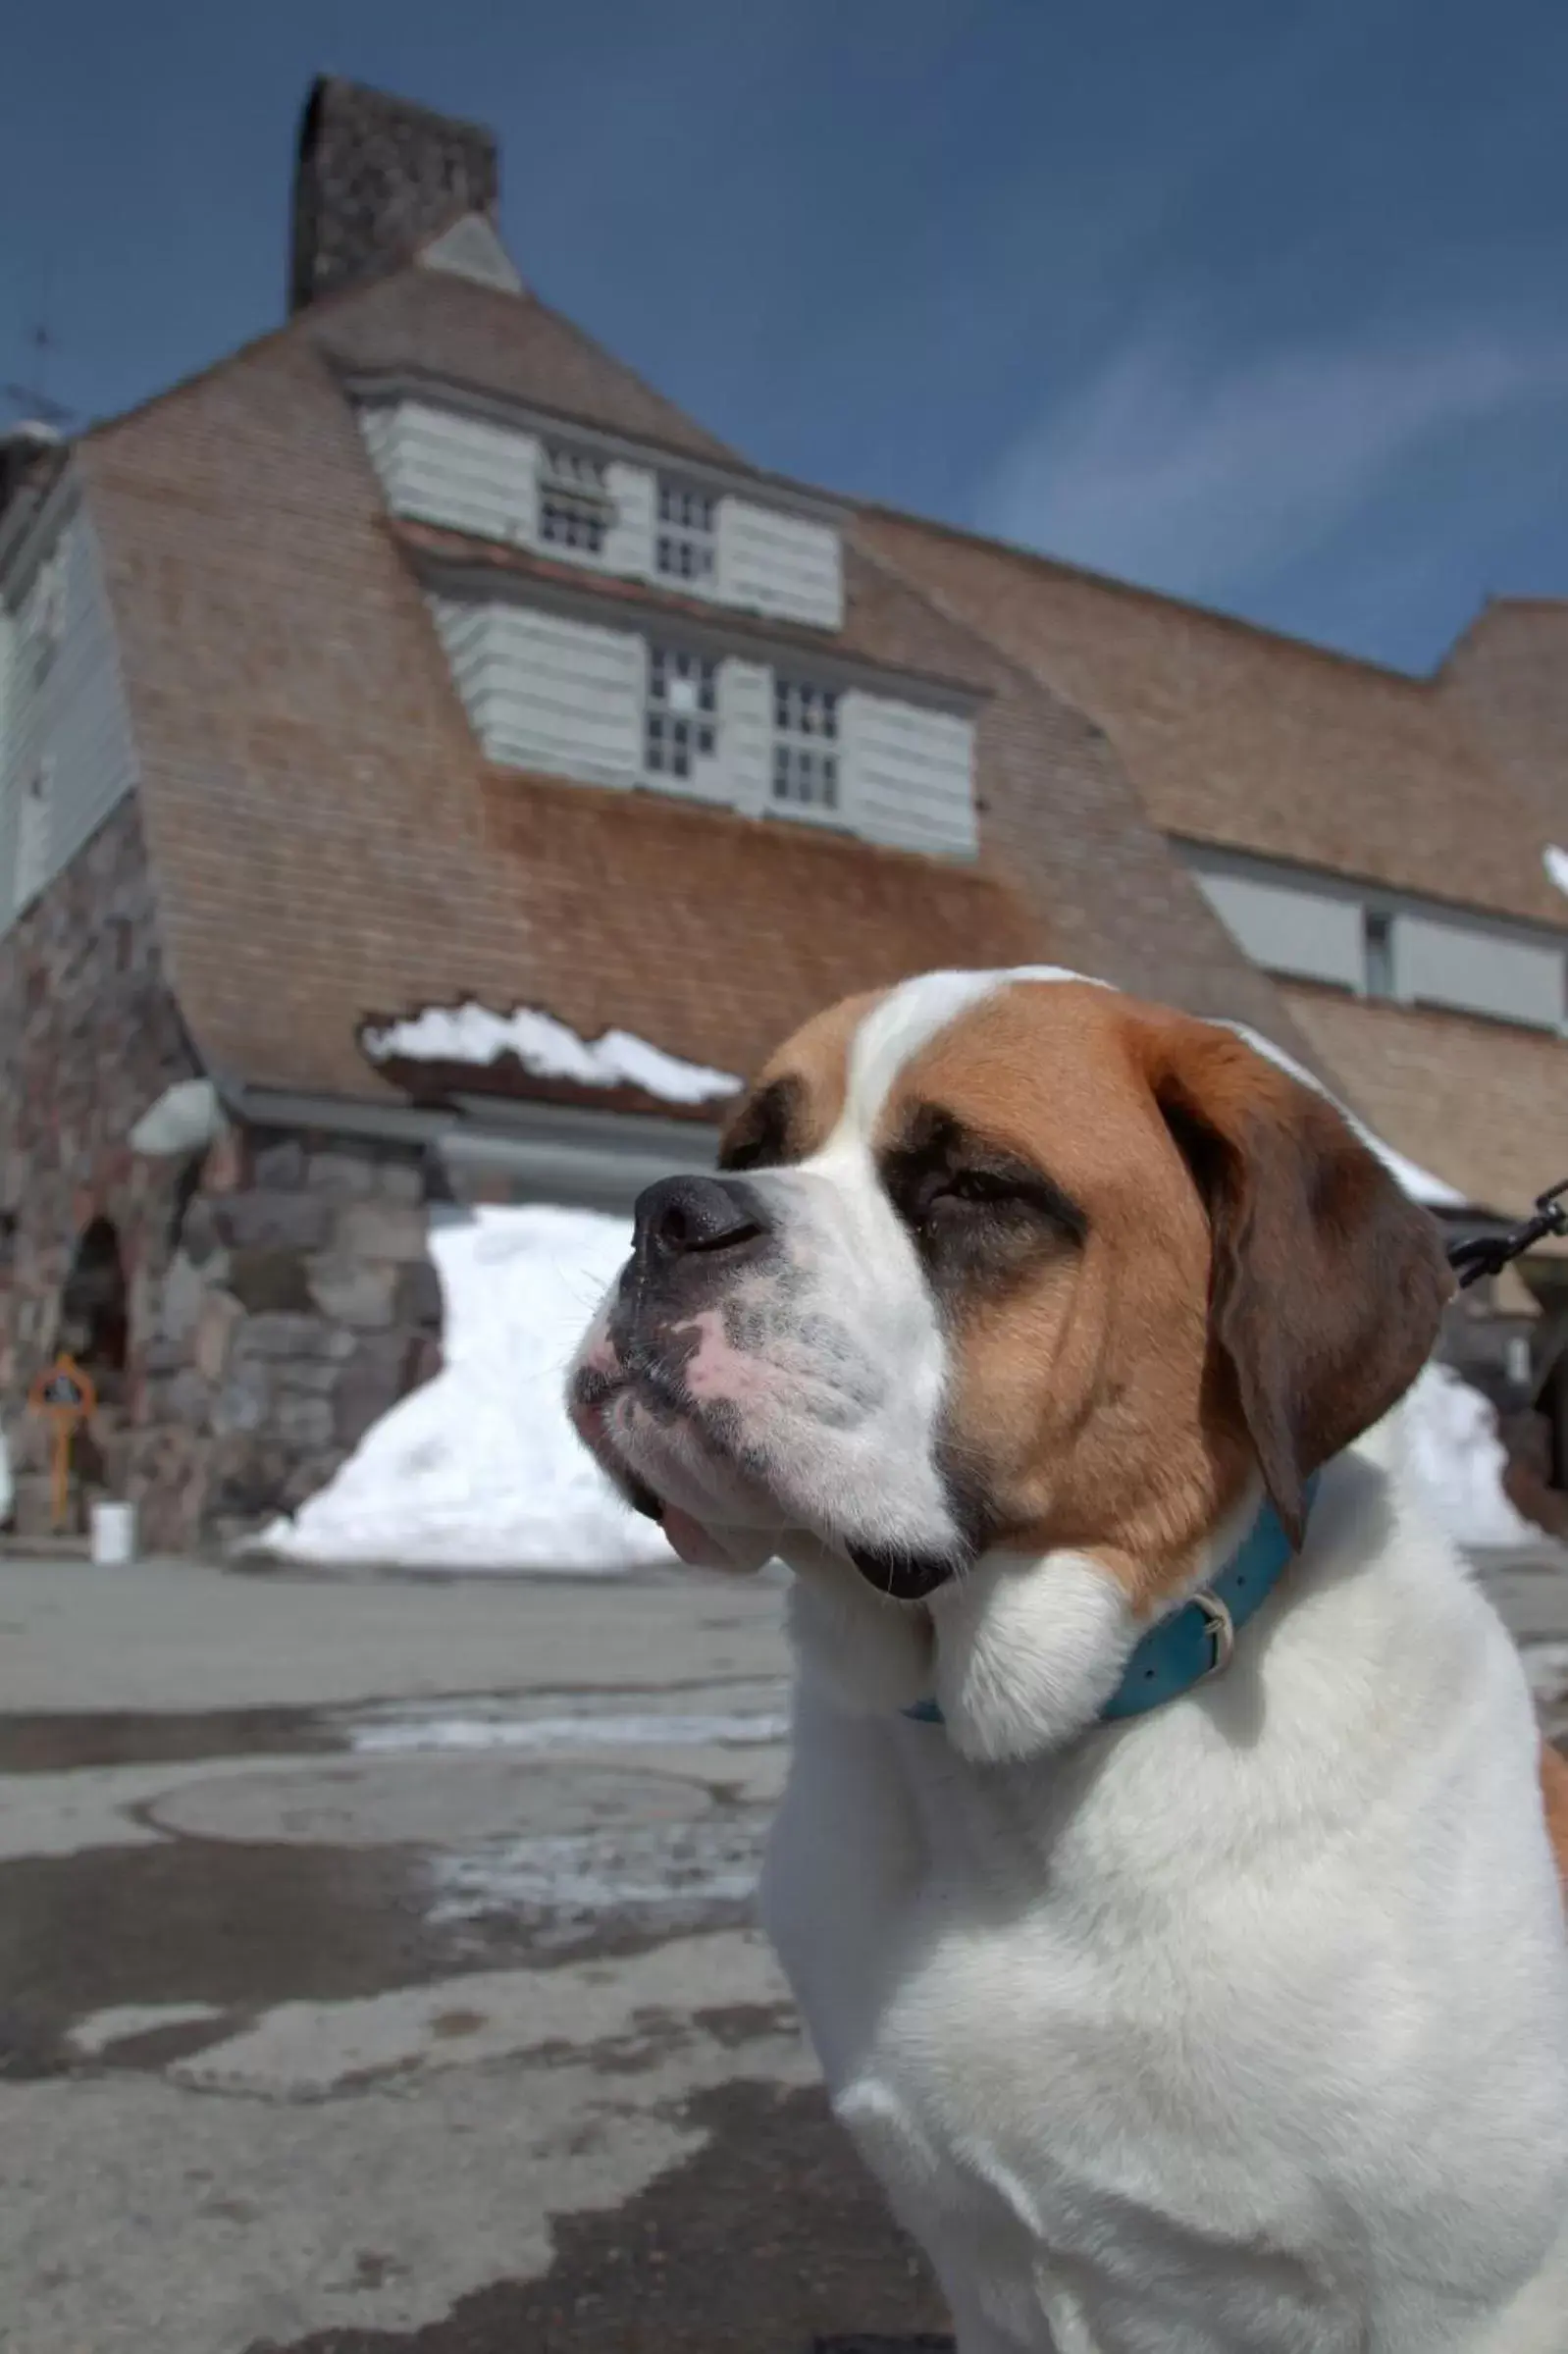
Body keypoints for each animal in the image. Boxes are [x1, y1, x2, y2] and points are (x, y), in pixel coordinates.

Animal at [564, 965, 1563, 2344]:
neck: (1047, 1756)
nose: (669, 1214)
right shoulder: (978, 2265)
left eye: (972, 1186)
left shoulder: (1472, 2297)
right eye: (749, 1152)